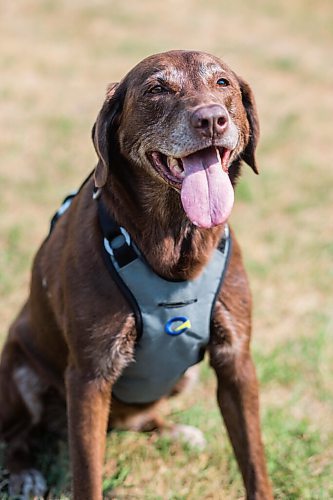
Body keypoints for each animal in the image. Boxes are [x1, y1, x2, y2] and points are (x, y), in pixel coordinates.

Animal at [0, 51, 272, 500]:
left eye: (222, 83)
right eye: (157, 89)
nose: (212, 119)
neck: (174, 243)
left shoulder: (237, 362)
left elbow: (254, 461)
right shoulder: (90, 375)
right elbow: (87, 475)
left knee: (141, 419)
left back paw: (174, 431)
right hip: (19, 370)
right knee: (16, 435)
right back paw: (24, 474)